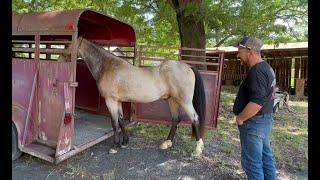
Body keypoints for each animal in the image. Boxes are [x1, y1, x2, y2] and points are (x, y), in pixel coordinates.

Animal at [76, 37, 206, 156]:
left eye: (70, 42)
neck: (108, 67)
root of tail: (188, 67)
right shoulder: (118, 101)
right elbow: (121, 120)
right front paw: (124, 143)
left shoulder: (110, 101)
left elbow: (114, 123)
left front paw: (115, 146)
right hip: (172, 101)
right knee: (175, 120)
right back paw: (166, 143)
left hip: (185, 102)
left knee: (195, 118)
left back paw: (197, 150)